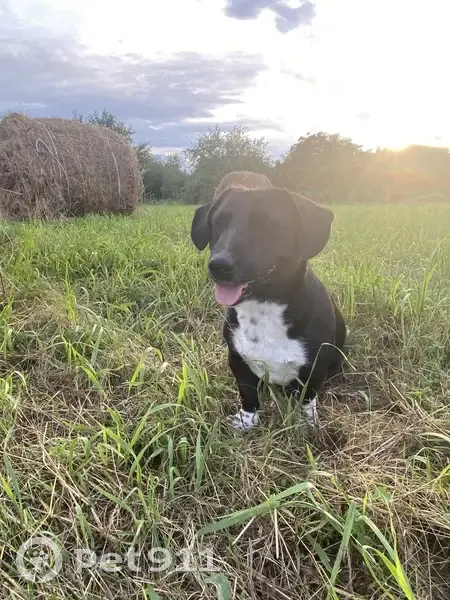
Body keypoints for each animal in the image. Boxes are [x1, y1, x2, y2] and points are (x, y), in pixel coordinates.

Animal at [190, 181, 346, 431]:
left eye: (267, 223)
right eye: (218, 222)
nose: (218, 265)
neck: (263, 308)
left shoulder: (315, 368)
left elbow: (307, 397)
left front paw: (307, 423)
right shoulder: (237, 360)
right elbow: (248, 394)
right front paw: (247, 420)